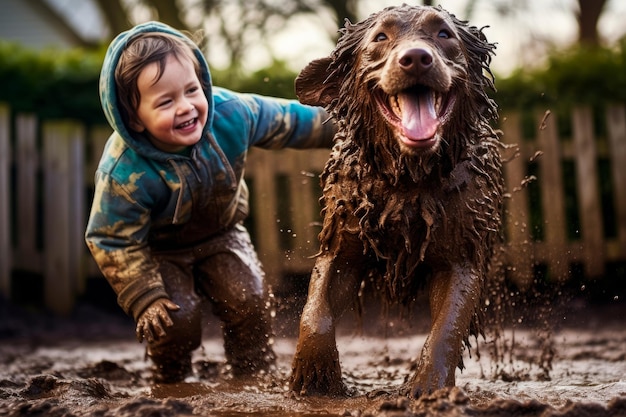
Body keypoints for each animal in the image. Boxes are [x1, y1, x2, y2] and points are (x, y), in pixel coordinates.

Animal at [290, 5, 504, 396]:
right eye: (380, 37)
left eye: (444, 34)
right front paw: (314, 373)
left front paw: (427, 386)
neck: (407, 178)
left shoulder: (460, 254)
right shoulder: (342, 244)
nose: (416, 58)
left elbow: (447, 325)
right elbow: (316, 310)